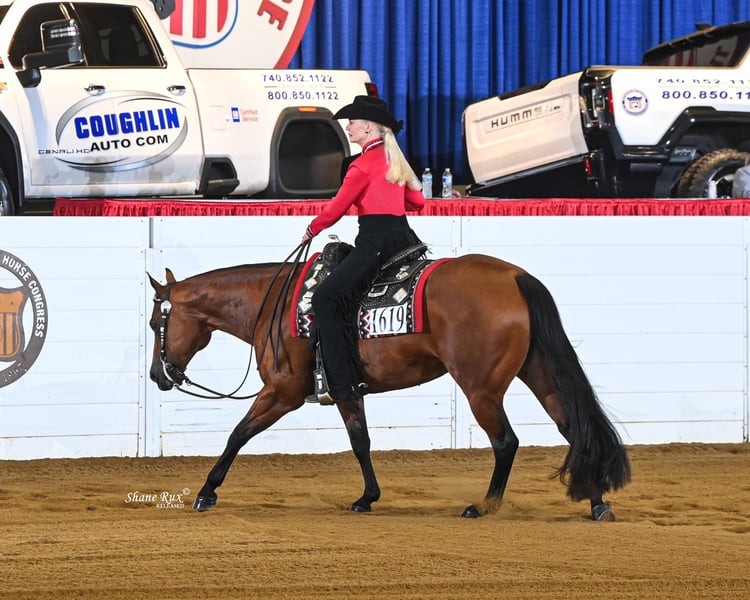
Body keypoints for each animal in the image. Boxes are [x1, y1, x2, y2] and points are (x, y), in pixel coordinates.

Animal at [147, 251, 631, 520]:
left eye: (155, 323)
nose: (157, 376)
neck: (278, 305)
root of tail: (514, 277)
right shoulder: (346, 390)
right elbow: (360, 442)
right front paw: (367, 498)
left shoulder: (281, 393)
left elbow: (238, 434)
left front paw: (206, 493)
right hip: (540, 374)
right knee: (575, 429)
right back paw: (596, 502)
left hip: (481, 390)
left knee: (506, 442)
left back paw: (483, 506)